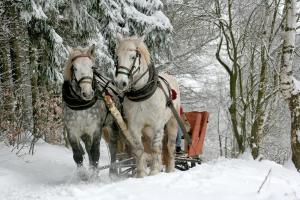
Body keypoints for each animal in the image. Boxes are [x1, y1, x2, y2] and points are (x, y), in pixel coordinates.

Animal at [113, 34, 179, 177]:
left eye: (133, 57)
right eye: (117, 57)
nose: (120, 82)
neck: (142, 95)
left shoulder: (157, 125)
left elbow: (156, 148)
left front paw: (154, 172)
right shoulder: (134, 127)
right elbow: (139, 150)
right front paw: (141, 174)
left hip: (172, 122)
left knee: (169, 147)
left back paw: (170, 170)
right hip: (147, 130)